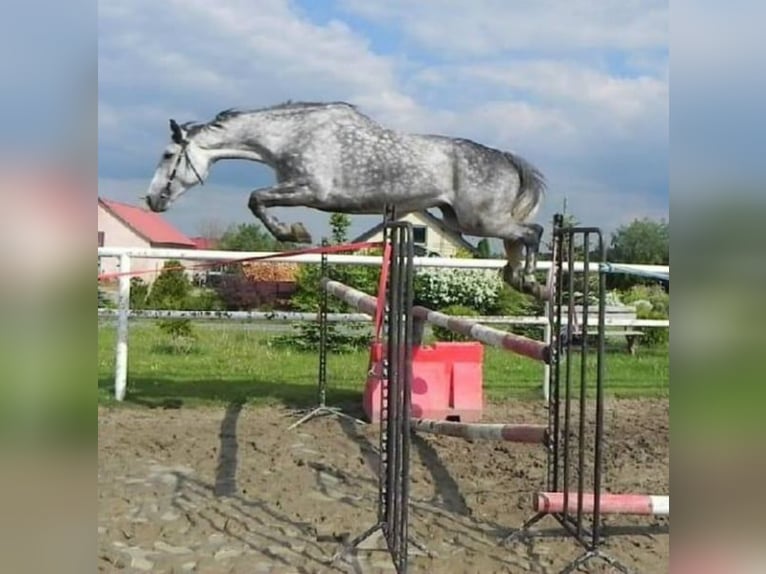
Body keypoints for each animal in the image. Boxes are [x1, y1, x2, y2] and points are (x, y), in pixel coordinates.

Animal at [143, 101, 547, 298]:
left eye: (167, 154)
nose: (151, 200)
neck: (290, 136)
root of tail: (506, 158)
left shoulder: (309, 190)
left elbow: (256, 199)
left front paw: (294, 233)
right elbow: (258, 201)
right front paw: (294, 232)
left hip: (478, 220)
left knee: (533, 232)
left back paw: (530, 280)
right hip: (463, 219)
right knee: (518, 240)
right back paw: (522, 282)